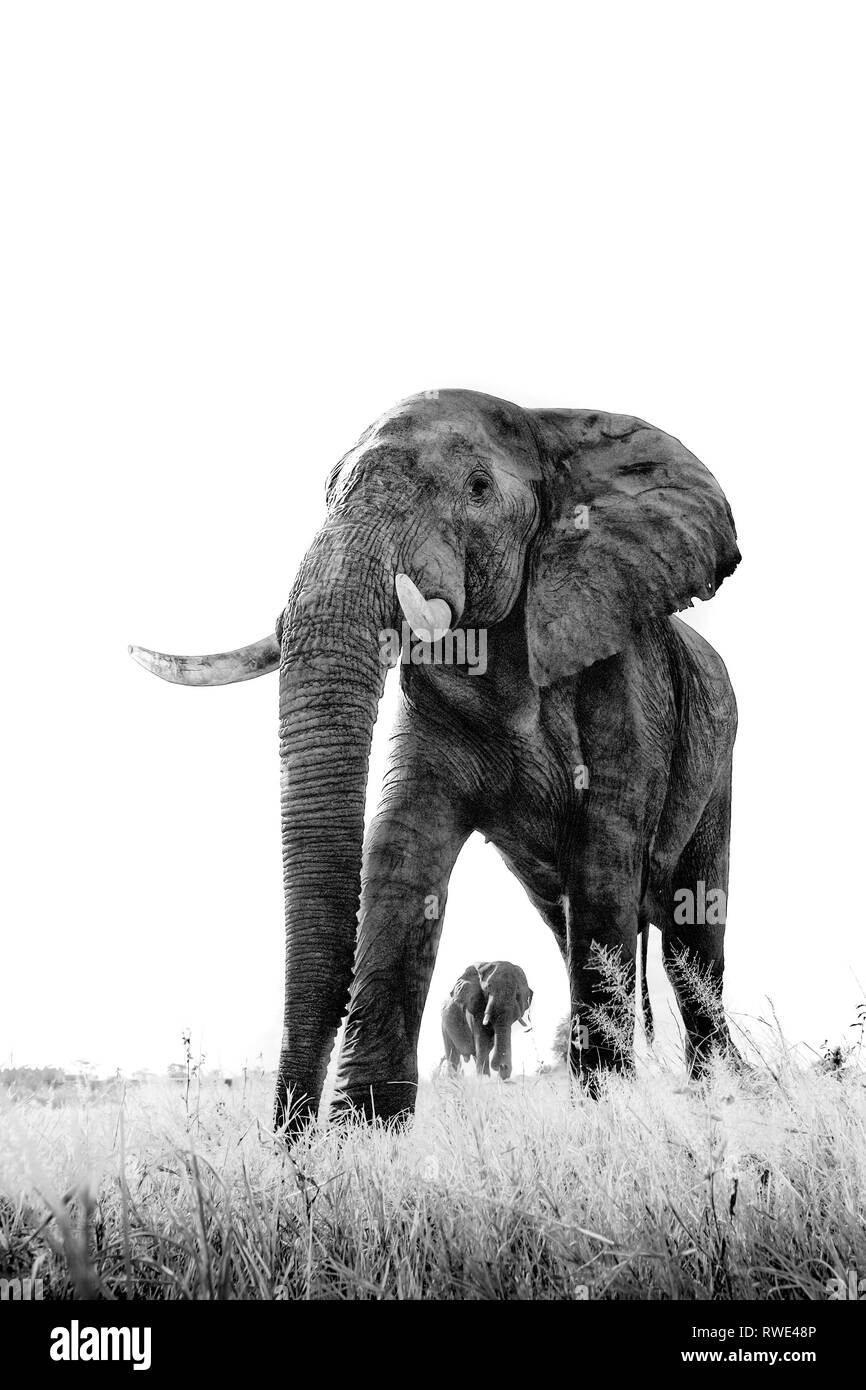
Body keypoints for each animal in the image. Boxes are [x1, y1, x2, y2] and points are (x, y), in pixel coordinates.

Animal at [132, 386, 739, 1134]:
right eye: (326, 493)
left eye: (478, 488)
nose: (286, 1138)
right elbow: (401, 856)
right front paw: (365, 1131)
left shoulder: (623, 682)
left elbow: (605, 861)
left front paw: (606, 1117)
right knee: (572, 924)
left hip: (718, 756)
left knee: (690, 933)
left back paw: (722, 1093)